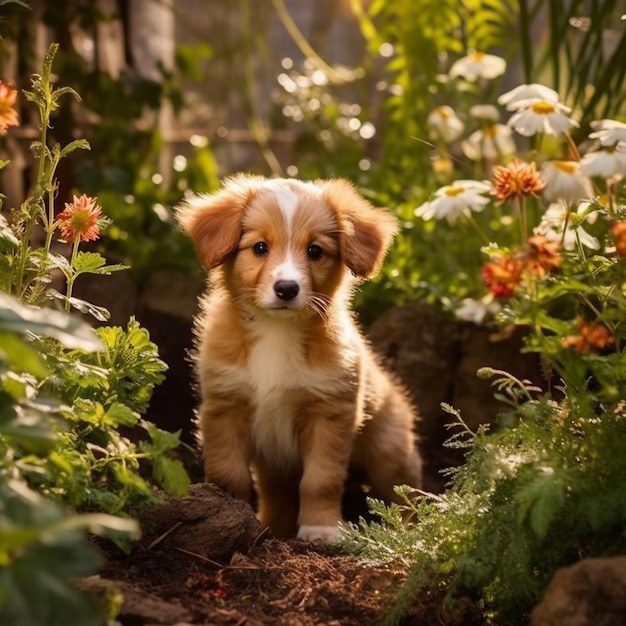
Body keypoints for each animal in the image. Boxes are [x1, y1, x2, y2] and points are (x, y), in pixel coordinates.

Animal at [174, 176, 420, 540]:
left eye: (315, 251)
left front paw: (321, 528)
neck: (277, 330)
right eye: (260, 248)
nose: (287, 289)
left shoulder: (330, 414)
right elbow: (228, 473)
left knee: (406, 496)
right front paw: (232, 513)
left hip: (389, 452)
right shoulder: (224, 407)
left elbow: (320, 480)